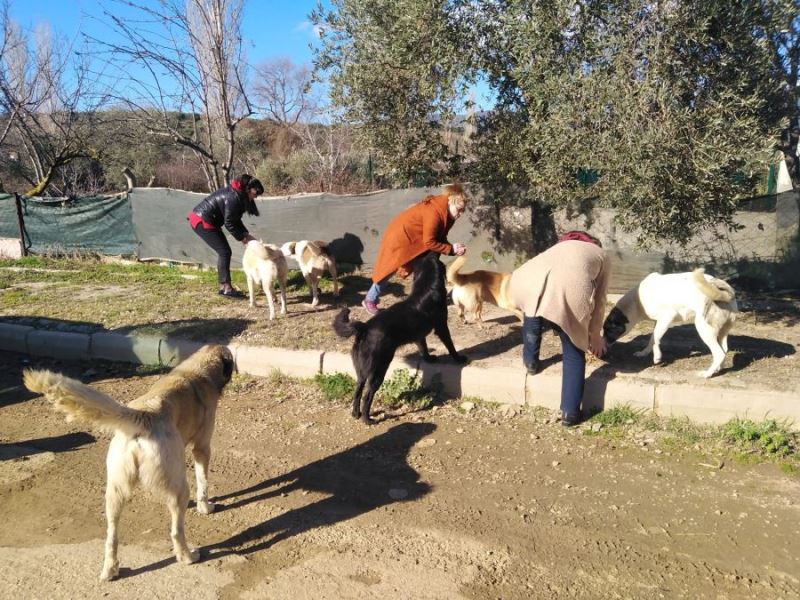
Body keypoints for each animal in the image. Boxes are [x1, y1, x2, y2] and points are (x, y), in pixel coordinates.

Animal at [22, 346, 234, 580]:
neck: (197, 371)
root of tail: (144, 415)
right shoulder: (202, 448)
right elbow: (203, 482)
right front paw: (205, 507)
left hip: (114, 492)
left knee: (111, 536)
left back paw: (110, 568)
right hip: (178, 489)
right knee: (176, 531)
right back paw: (187, 556)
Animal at [332, 251, 468, 424]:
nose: (433, 250)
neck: (426, 287)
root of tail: (365, 327)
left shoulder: (419, 335)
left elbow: (423, 347)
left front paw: (429, 359)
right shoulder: (441, 326)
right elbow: (450, 345)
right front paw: (459, 358)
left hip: (361, 369)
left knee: (357, 391)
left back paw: (356, 414)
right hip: (378, 368)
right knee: (368, 395)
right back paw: (367, 419)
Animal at [608, 270, 736, 378]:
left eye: (608, 329)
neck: (636, 301)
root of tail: (726, 292)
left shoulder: (667, 317)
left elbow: (655, 338)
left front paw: (657, 357)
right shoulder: (658, 322)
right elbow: (652, 338)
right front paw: (644, 353)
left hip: (704, 329)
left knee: (719, 354)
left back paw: (707, 374)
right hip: (721, 332)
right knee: (724, 350)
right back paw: (718, 369)